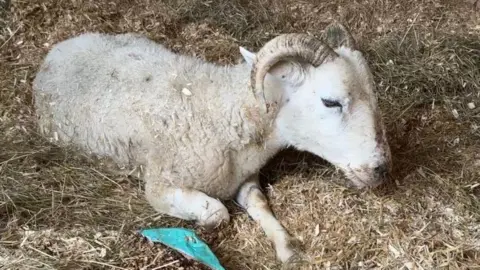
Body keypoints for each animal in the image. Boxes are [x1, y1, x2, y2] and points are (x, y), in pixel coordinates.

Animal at [32, 22, 394, 266]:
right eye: (330, 102)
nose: (381, 167)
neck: (219, 110)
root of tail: (58, 49)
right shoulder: (160, 188)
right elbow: (218, 212)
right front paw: (202, 229)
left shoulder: (244, 178)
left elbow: (261, 205)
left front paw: (286, 247)